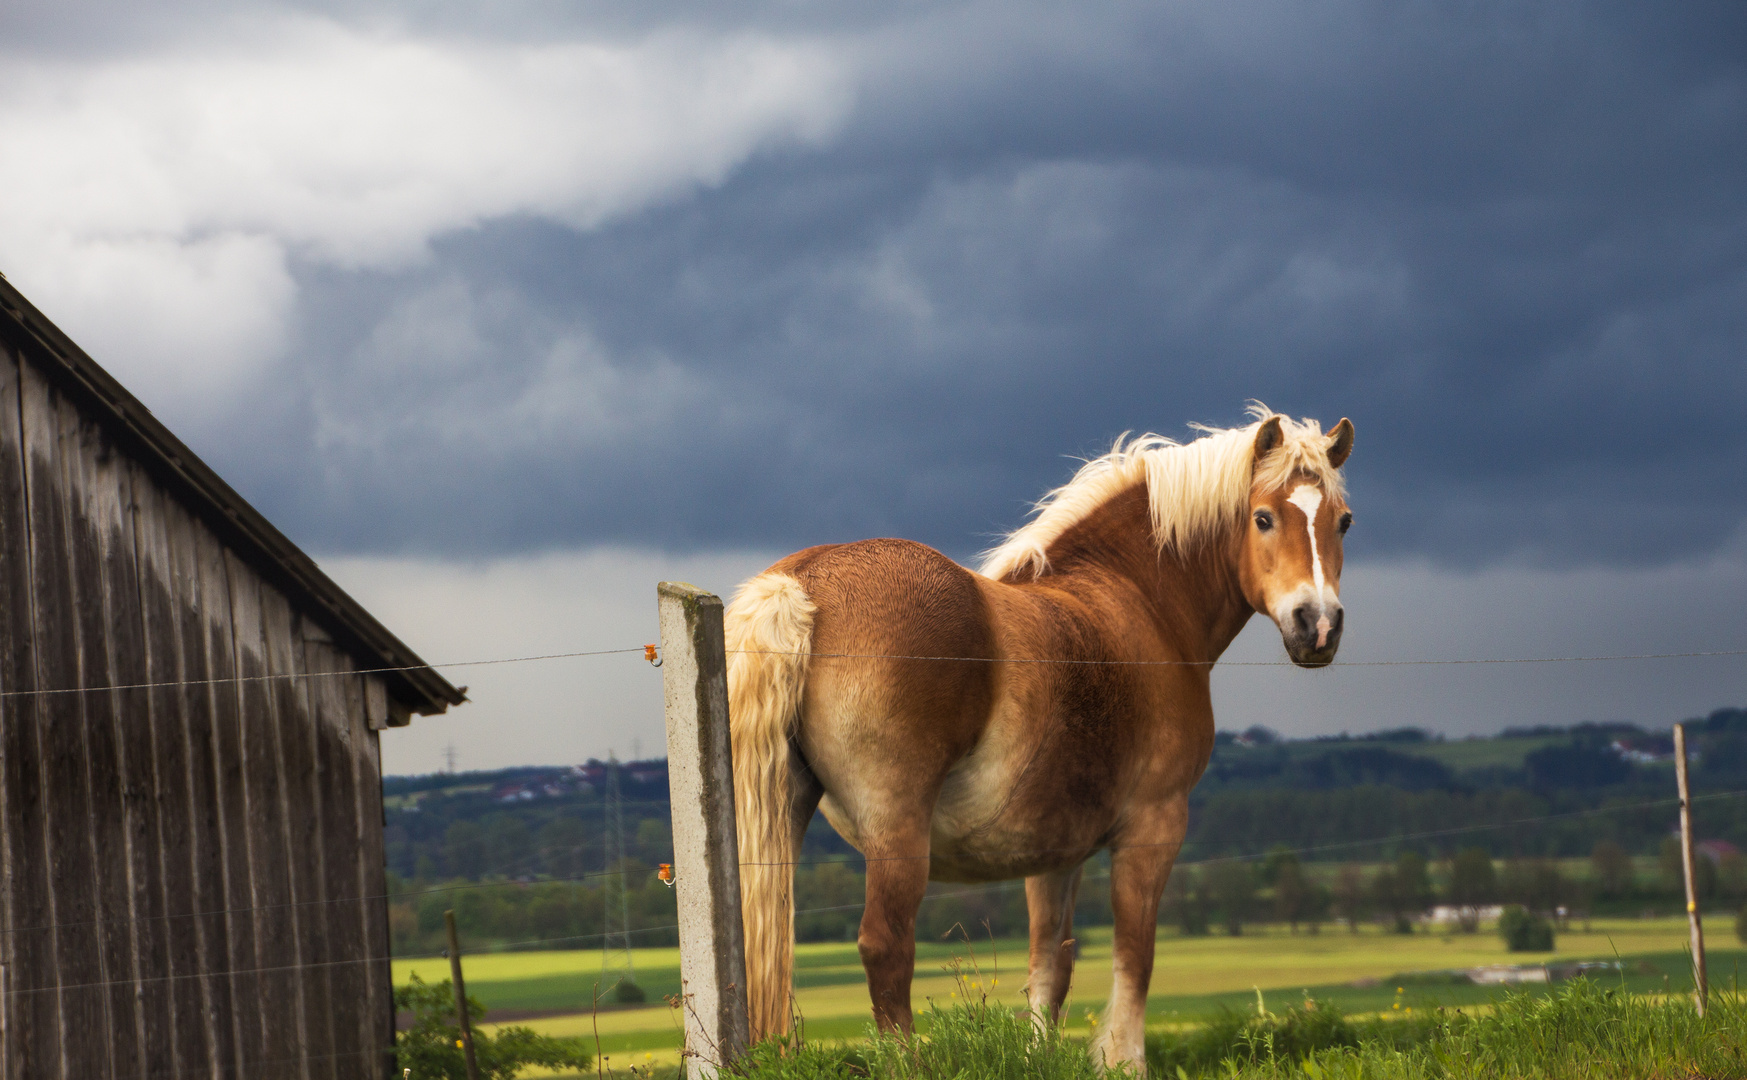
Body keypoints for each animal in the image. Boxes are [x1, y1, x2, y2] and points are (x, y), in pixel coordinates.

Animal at [723, 405, 1348, 1069]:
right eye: (1263, 517)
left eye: (1343, 521)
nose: (1318, 625)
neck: (1136, 598)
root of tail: (805, 581)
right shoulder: (1153, 827)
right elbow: (1135, 953)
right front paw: (1123, 1061)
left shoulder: (1054, 854)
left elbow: (1051, 966)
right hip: (896, 830)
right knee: (885, 946)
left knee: (767, 946)